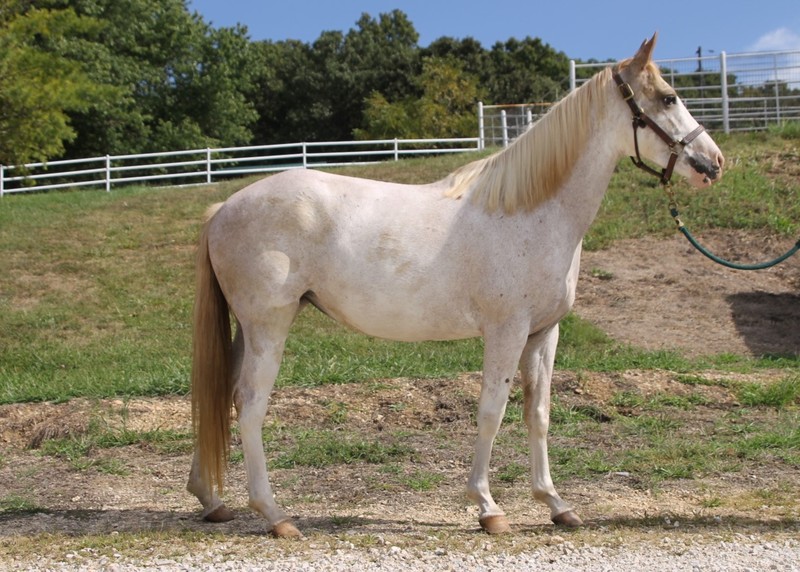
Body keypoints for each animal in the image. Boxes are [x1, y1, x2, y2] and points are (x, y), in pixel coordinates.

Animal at [186, 33, 724, 540]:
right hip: (268, 327)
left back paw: (212, 501)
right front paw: (488, 507)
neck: (532, 211)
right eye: (669, 97)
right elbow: (491, 411)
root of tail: (224, 208)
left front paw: (555, 503)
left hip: (247, 329)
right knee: (249, 405)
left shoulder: (543, 334)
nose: (714, 161)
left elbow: (539, 414)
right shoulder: (506, 332)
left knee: (219, 396)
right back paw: (275, 515)